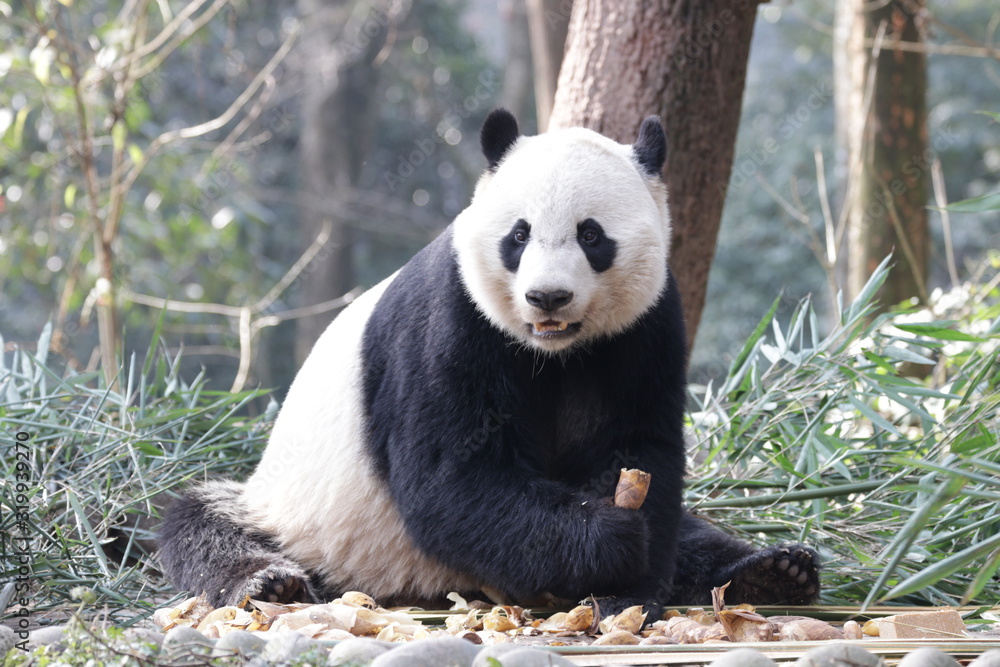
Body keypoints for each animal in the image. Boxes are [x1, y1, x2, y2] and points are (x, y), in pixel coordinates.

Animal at [158, 109, 819, 618]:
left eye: (592, 235)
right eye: (519, 235)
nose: (548, 296)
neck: (554, 351)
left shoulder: (647, 325)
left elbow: (642, 448)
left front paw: (628, 589)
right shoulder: (450, 318)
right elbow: (453, 475)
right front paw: (610, 543)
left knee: (694, 530)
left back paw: (774, 570)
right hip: (295, 515)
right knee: (201, 524)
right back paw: (269, 582)